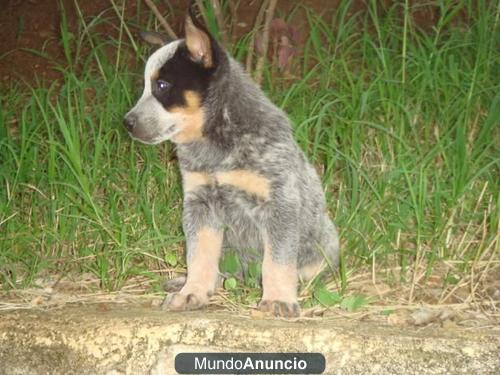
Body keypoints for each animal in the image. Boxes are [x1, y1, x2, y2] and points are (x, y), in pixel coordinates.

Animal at [123, 7, 340, 318]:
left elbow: (278, 260)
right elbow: (199, 255)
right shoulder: (201, 203)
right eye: (144, 86)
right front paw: (192, 292)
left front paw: (278, 298)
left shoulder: (280, 203)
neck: (216, 150)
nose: (126, 123)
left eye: (162, 85)